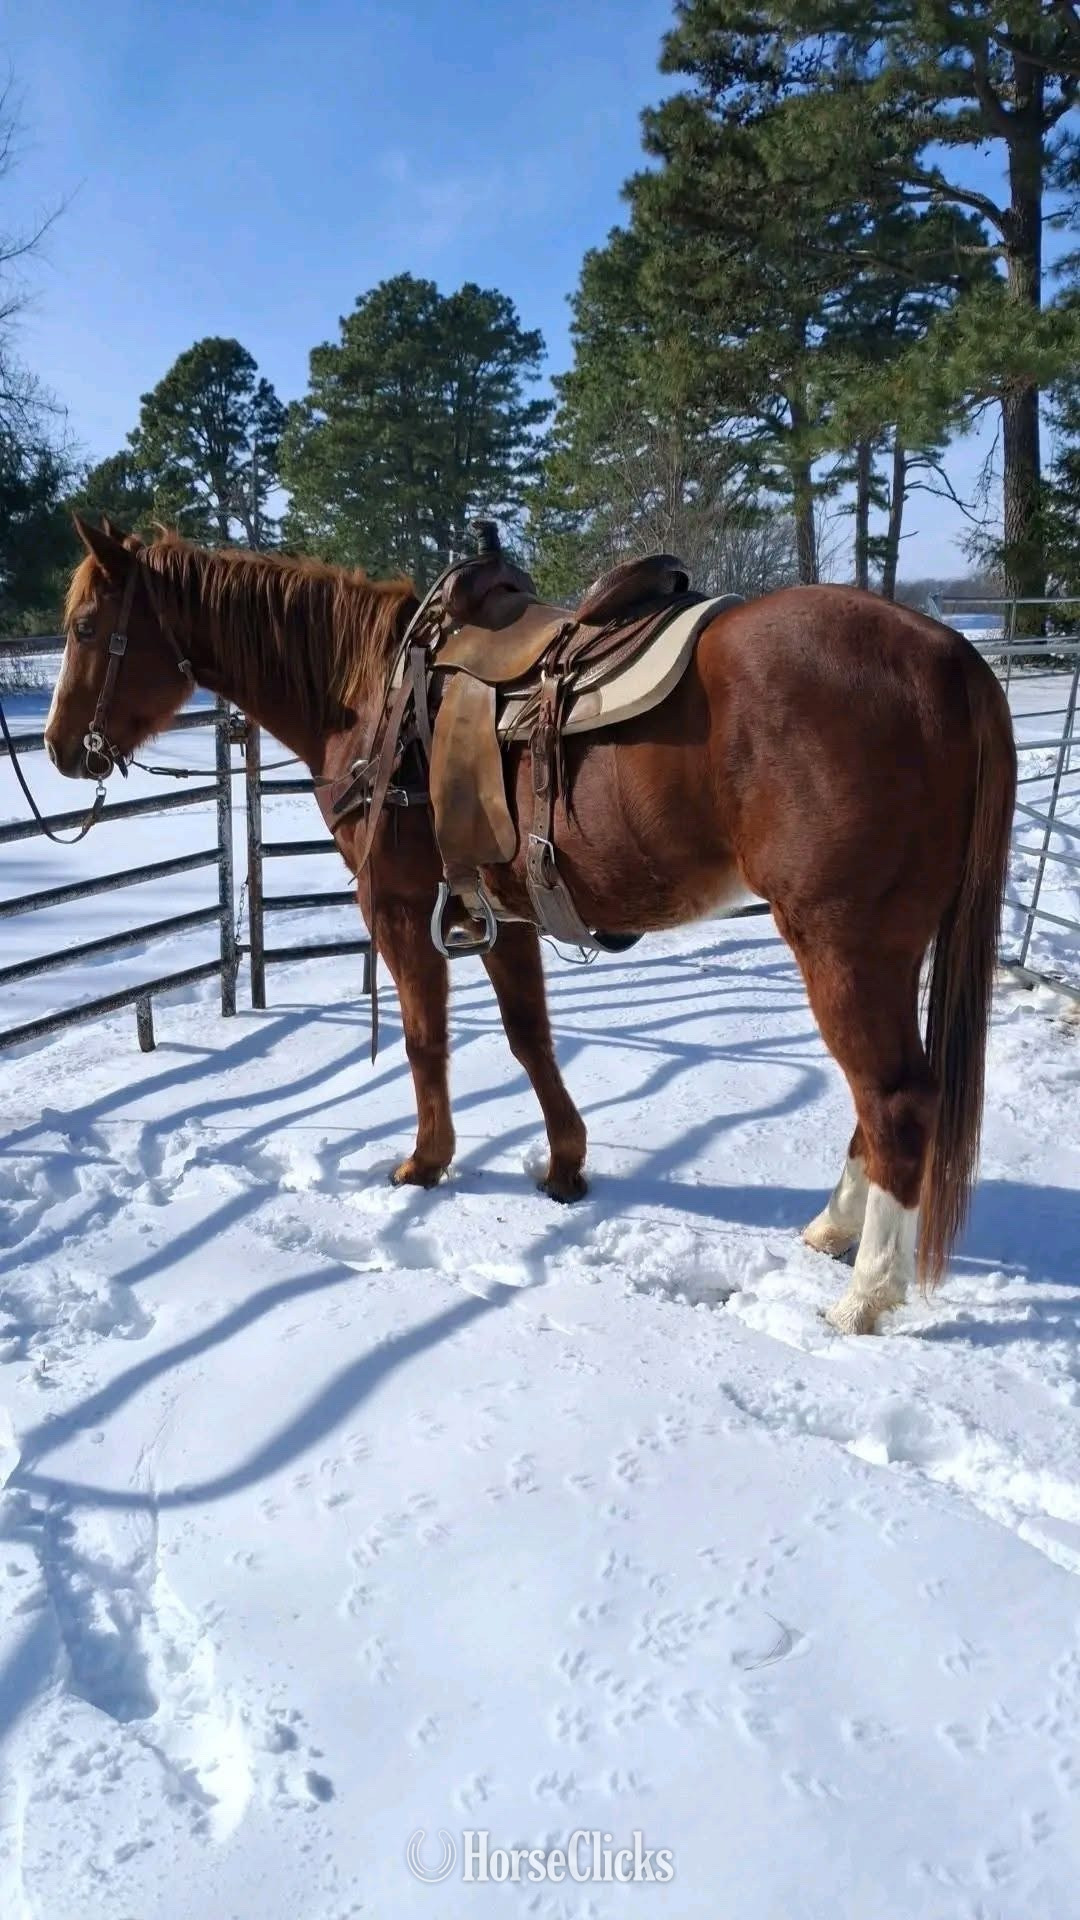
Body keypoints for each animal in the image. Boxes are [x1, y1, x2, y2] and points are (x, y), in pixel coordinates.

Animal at [45, 518, 1017, 1334]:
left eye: (88, 626)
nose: (57, 747)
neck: (368, 695)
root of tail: (948, 655)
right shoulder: (499, 911)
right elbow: (529, 1038)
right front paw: (564, 1167)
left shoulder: (397, 908)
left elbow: (425, 1039)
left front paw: (424, 1163)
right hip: (885, 948)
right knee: (883, 1096)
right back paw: (831, 1229)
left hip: (841, 943)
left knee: (895, 1098)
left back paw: (863, 1297)